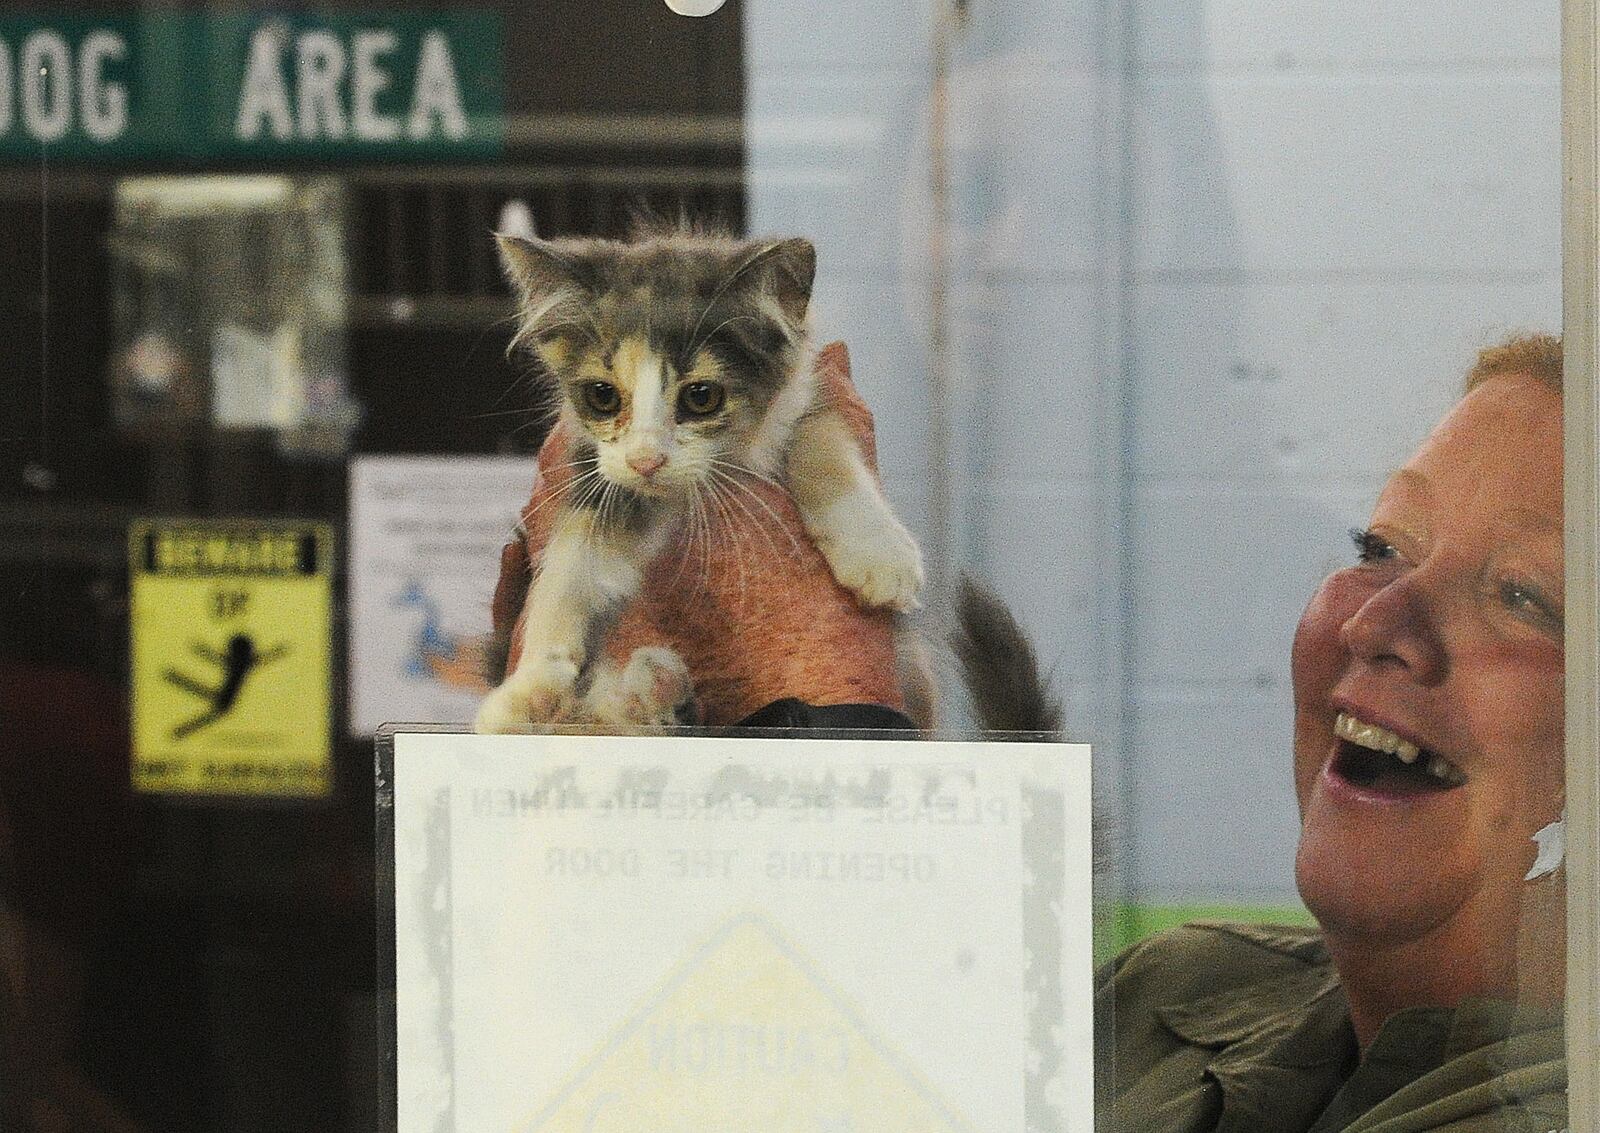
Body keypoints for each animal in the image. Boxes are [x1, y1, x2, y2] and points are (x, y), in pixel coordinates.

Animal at [470, 230, 928, 736]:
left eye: (702, 396)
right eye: (602, 395)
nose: (646, 460)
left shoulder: (813, 392)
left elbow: (825, 445)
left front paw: (878, 552)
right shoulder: (592, 469)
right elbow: (569, 562)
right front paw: (528, 686)